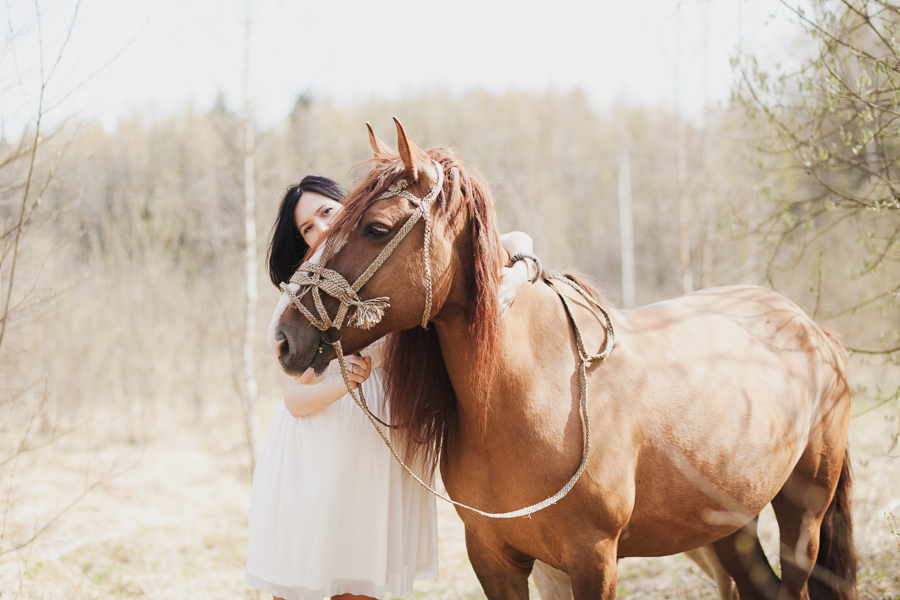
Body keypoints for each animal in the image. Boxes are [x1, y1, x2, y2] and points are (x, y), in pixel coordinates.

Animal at [272, 119, 856, 596]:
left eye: (376, 227)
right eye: (320, 229)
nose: (283, 339)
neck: (529, 396)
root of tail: (812, 328)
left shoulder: (593, 559)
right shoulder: (495, 559)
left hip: (801, 515)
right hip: (730, 524)